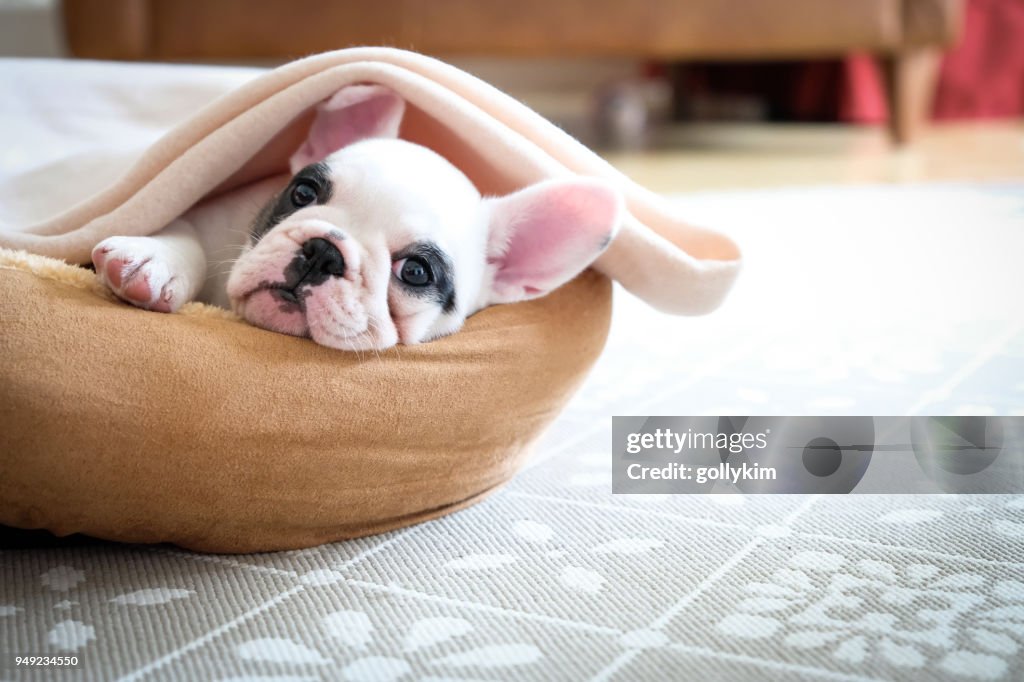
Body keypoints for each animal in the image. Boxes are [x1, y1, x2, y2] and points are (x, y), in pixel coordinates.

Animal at [94, 84, 622, 350]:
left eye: (415, 271)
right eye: (303, 192)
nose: (323, 252)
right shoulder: (209, 213)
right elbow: (184, 233)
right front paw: (151, 262)